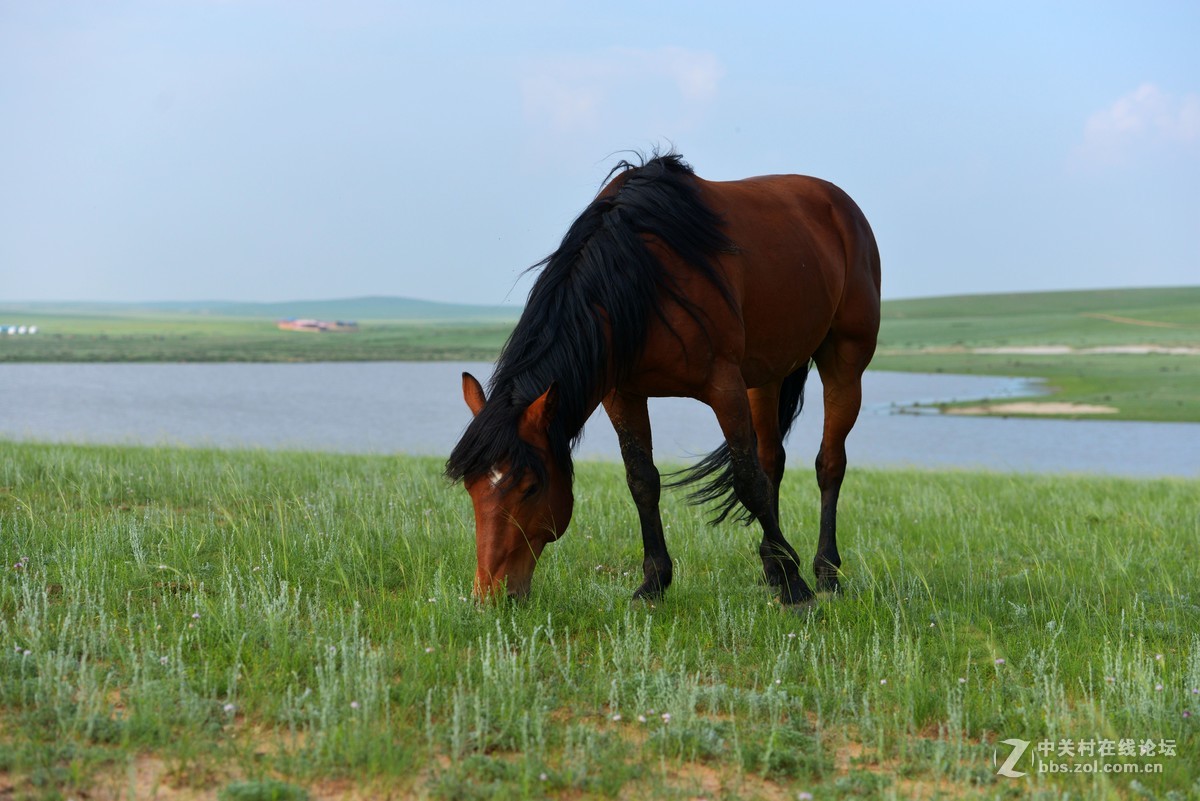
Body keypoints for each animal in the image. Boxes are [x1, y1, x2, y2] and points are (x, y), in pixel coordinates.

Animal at [446, 153, 878, 604]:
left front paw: (795, 588)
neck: (641, 278)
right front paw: (654, 582)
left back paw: (824, 572)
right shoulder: (623, 395)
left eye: (530, 487)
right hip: (766, 376)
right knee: (772, 459)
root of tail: (839, 204)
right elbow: (643, 481)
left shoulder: (725, 388)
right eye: (471, 486)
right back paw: (772, 569)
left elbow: (747, 481)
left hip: (844, 360)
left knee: (829, 464)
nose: (489, 595)